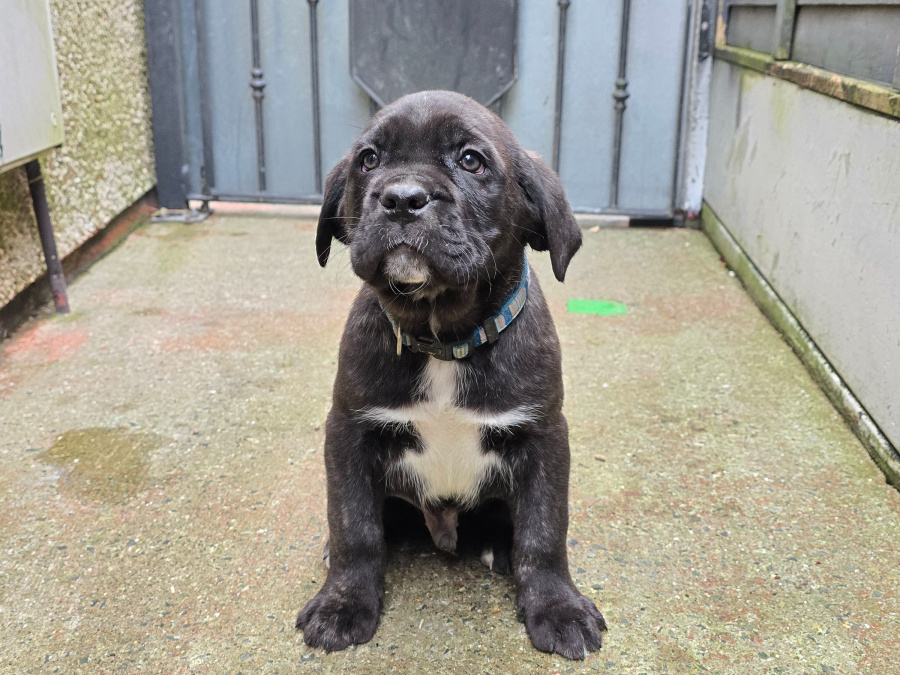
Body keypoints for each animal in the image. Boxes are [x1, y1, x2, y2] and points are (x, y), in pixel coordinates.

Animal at [298, 90, 608, 660]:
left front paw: (557, 606)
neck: (443, 340)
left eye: (471, 160)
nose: (402, 198)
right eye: (368, 160)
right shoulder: (348, 431)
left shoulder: (545, 437)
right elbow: (354, 524)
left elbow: (544, 530)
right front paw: (343, 602)